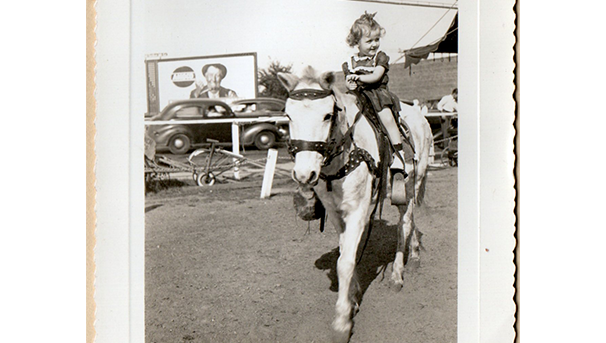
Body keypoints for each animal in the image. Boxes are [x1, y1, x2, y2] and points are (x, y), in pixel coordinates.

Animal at [280, 68, 432, 343]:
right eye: (288, 115)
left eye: (328, 115)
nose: (304, 174)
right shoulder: (336, 213)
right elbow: (346, 251)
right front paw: (353, 296)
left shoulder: (358, 211)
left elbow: (346, 262)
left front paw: (342, 322)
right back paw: (414, 255)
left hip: (413, 184)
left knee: (404, 225)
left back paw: (398, 273)